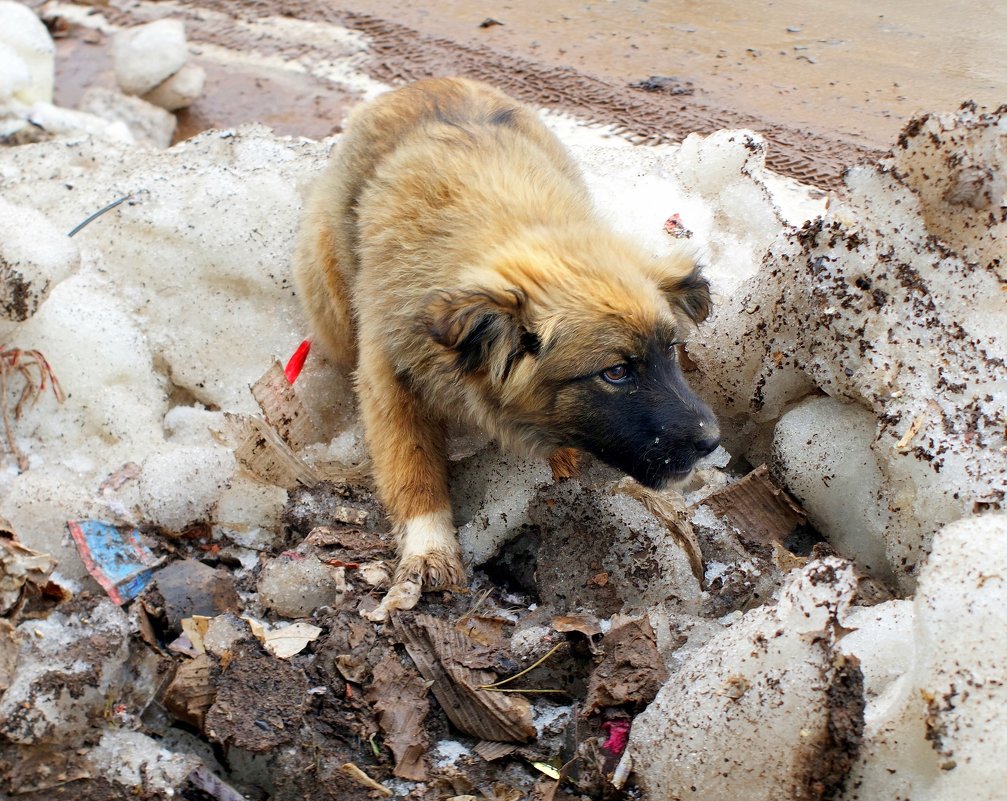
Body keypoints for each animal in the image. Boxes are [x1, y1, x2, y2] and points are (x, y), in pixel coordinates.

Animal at [294, 76, 721, 600]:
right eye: (617, 372)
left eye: (673, 350)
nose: (712, 442)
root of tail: (422, 83)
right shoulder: (389, 382)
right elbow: (412, 469)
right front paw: (429, 549)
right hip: (333, 301)